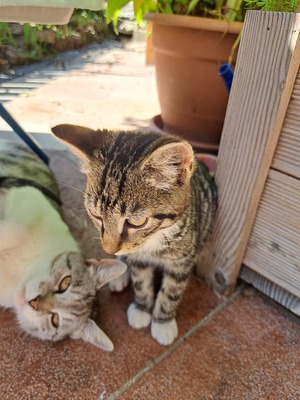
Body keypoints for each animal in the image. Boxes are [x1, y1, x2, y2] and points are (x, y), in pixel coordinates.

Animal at [0, 141, 126, 350]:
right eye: (65, 283)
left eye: (55, 320)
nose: (34, 302)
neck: (22, 270)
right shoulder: (30, 195)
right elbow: (19, 229)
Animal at [52, 124, 218, 344]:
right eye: (96, 215)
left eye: (136, 222)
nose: (109, 248)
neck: (154, 240)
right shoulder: (138, 258)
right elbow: (141, 281)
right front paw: (142, 308)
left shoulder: (182, 260)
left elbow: (172, 291)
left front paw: (163, 322)